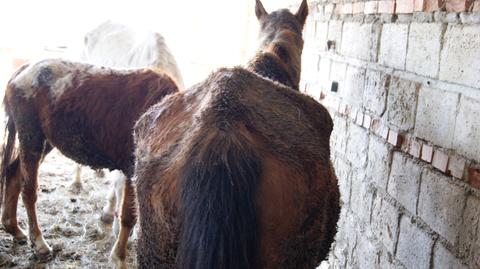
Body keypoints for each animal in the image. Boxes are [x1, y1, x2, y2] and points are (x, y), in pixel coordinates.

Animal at [0, 59, 178, 266]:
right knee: (28, 191)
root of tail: (22, 71)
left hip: (44, 141)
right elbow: (128, 216)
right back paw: (39, 244)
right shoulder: (132, 173)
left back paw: (13, 228)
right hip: (31, 137)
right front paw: (119, 257)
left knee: (13, 174)